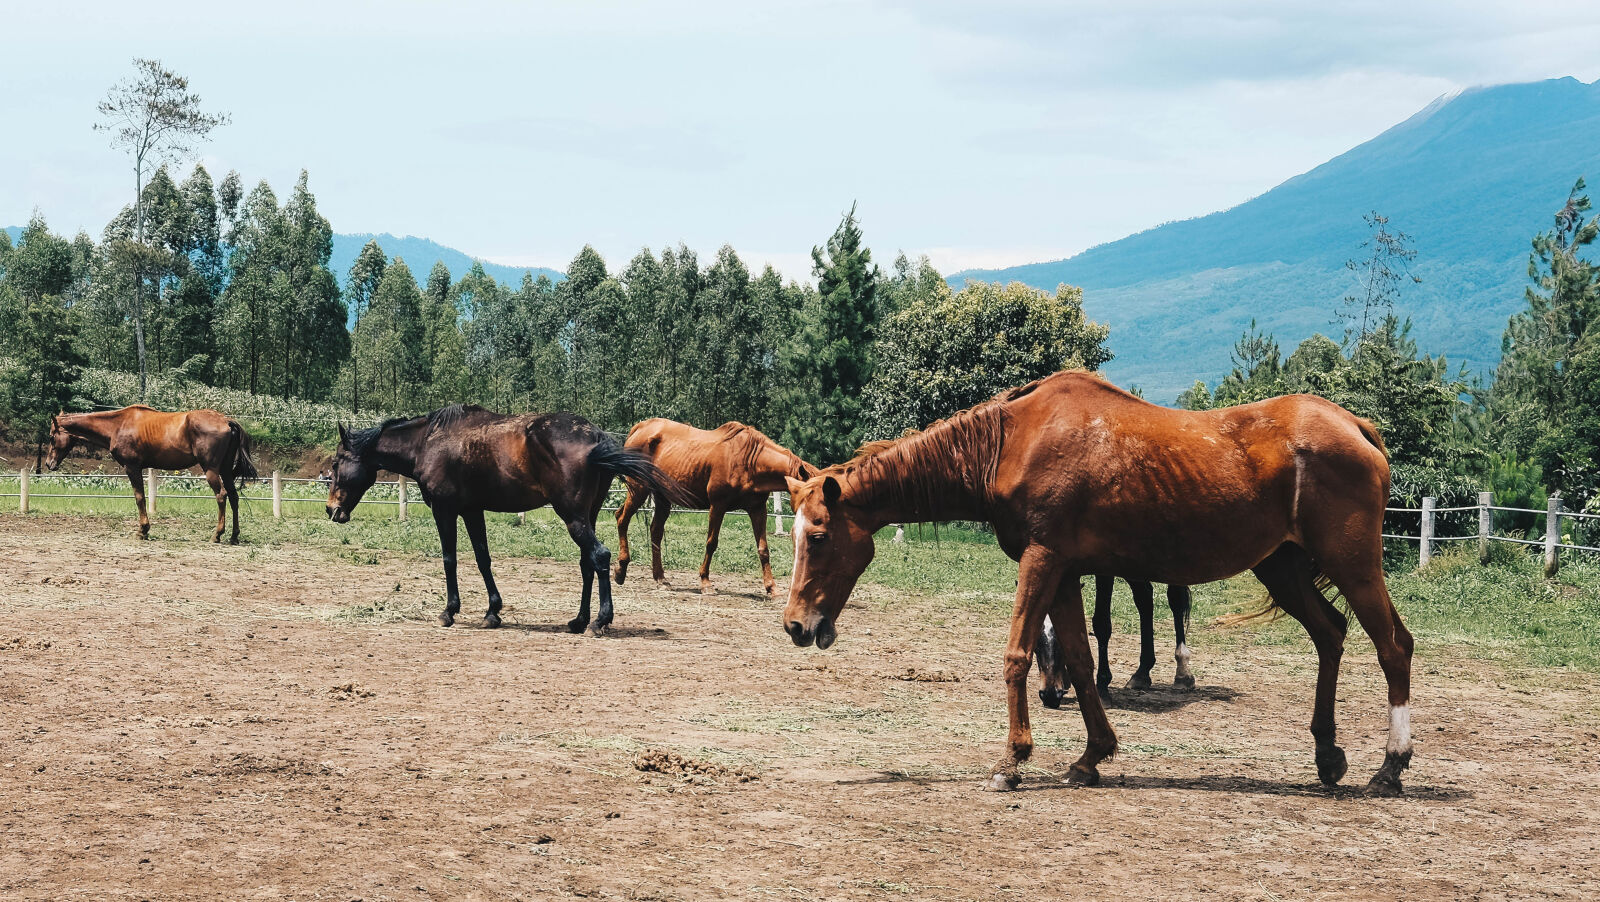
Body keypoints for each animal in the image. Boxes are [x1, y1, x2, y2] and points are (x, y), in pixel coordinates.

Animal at [44, 406, 256, 543]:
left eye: (52, 437)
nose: (48, 464)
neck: (118, 425)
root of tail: (226, 420)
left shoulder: (132, 468)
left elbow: (140, 498)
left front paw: (143, 530)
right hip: (225, 471)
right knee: (234, 497)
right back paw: (234, 536)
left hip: (211, 470)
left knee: (221, 496)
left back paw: (217, 534)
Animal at [324, 404, 694, 636]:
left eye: (338, 462)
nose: (331, 510)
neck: (428, 442)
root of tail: (597, 438)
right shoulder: (472, 510)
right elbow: (483, 559)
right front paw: (493, 612)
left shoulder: (444, 509)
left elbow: (449, 559)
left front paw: (449, 611)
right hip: (585, 516)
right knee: (586, 563)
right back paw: (578, 620)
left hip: (573, 516)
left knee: (600, 557)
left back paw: (599, 622)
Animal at [611, 419, 812, 598]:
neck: (749, 460)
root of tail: (639, 428)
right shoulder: (718, 505)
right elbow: (711, 543)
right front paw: (706, 583)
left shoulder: (758, 510)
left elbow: (763, 549)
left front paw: (772, 588)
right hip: (638, 489)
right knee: (622, 518)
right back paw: (620, 570)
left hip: (662, 498)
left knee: (655, 532)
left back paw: (661, 579)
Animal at [780, 371, 1420, 796]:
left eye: (818, 537)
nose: (795, 625)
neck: (1012, 441)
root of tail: (1355, 425)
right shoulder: (1064, 573)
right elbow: (1082, 662)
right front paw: (1092, 756)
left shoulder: (1040, 560)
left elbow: (1016, 654)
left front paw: (1012, 761)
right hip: (1283, 568)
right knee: (1331, 633)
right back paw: (1327, 756)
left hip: (1354, 567)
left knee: (1393, 646)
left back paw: (1390, 765)